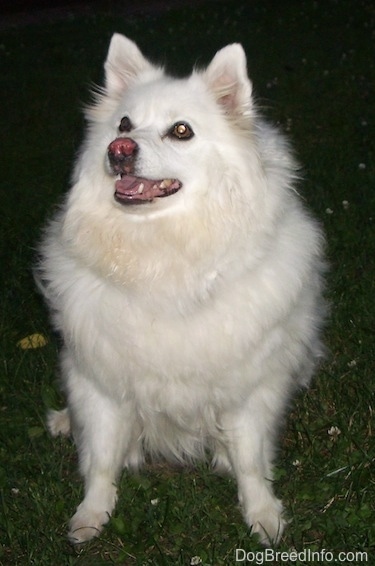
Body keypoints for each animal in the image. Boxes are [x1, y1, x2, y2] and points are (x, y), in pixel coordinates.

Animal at [37, 33, 326, 548]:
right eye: (124, 123)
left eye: (181, 131)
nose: (119, 148)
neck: (161, 257)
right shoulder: (101, 382)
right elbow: (101, 459)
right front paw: (91, 516)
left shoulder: (247, 386)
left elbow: (250, 459)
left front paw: (263, 515)